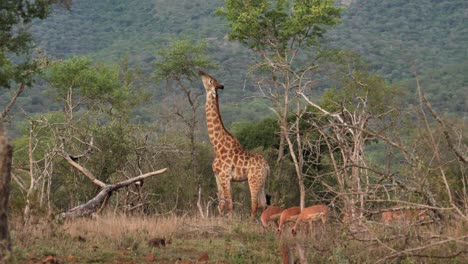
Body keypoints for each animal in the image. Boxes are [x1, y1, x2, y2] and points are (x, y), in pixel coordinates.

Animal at [199, 70, 268, 221]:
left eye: (210, 80)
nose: (200, 72)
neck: (217, 146)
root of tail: (267, 166)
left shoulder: (225, 176)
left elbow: (229, 203)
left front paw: (230, 221)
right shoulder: (217, 176)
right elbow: (221, 203)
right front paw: (220, 220)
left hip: (253, 180)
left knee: (254, 205)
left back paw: (251, 223)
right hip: (262, 182)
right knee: (264, 204)